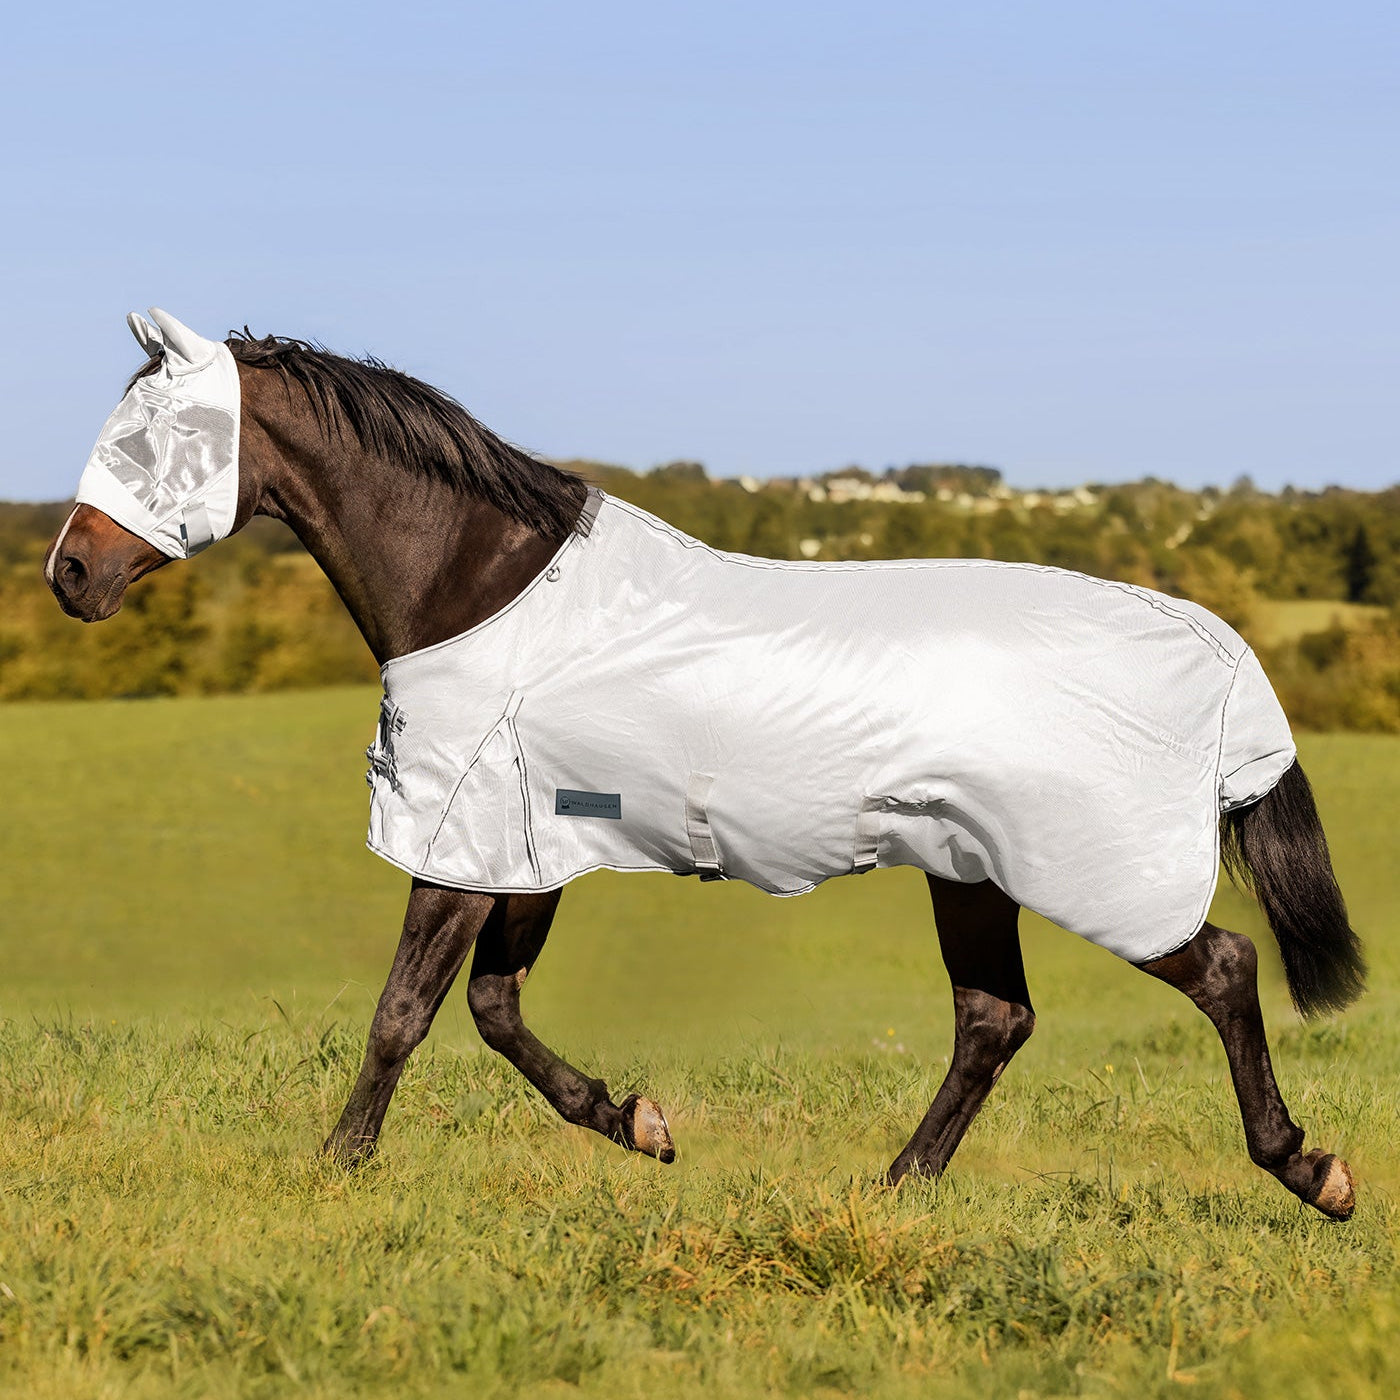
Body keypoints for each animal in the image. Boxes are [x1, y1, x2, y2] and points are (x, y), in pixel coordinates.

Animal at [46, 309, 1366, 1219]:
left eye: (154, 441)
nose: (69, 572)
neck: (482, 583)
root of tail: (1205, 645)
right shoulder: (531, 848)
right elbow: (490, 1008)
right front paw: (636, 1121)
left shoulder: (462, 844)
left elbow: (402, 1012)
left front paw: (336, 1165)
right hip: (969, 872)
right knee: (996, 1018)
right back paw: (894, 1184)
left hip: (1084, 871)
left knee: (1219, 967)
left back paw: (1308, 1169)